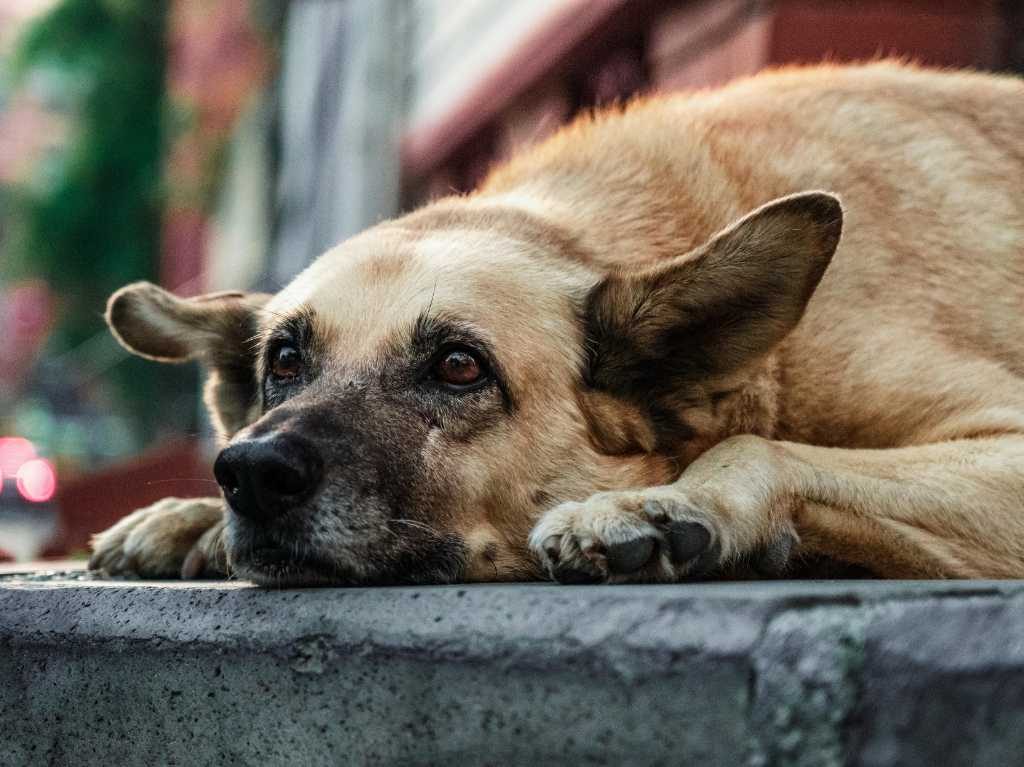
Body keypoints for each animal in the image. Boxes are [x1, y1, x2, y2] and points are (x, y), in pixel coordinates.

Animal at [88, 61, 1024, 585]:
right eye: (284, 360)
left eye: (459, 366)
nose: (248, 473)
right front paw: (189, 518)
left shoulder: (1004, 441)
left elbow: (756, 445)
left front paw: (663, 503)